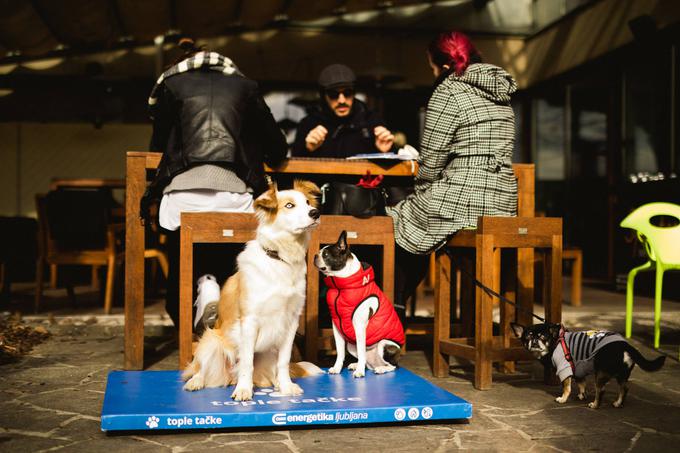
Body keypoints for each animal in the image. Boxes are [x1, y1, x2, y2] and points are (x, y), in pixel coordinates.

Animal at [182, 180, 322, 400]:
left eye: (308, 203)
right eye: (289, 205)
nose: (315, 213)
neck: (280, 258)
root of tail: (229, 376)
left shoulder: (291, 322)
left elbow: (284, 361)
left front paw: (286, 386)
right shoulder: (249, 321)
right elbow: (247, 361)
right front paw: (243, 390)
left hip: (269, 353)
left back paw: (276, 385)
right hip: (211, 340)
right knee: (201, 368)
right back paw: (197, 381)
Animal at [314, 231, 404, 376]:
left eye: (326, 255)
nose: (315, 255)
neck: (340, 286)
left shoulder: (360, 327)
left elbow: (361, 351)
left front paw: (360, 372)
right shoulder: (337, 328)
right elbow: (340, 352)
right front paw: (337, 368)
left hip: (384, 344)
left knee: (393, 366)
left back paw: (380, 368)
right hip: (352, 346)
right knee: (368, 361)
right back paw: (357, 365)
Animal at [510, 324, 664, 408]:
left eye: (543, 337)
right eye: (528, 337)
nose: (535, 341)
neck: (556, 341)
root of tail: (625, 345)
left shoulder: (564, 368)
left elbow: (567, 387)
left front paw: (563, 399)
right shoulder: (578, 369)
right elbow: (581, 384)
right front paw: (582, 395)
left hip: (601, 373)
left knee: (601, 391)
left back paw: (595, 405)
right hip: (622, 374)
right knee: (624, 388)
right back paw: (618, 403)